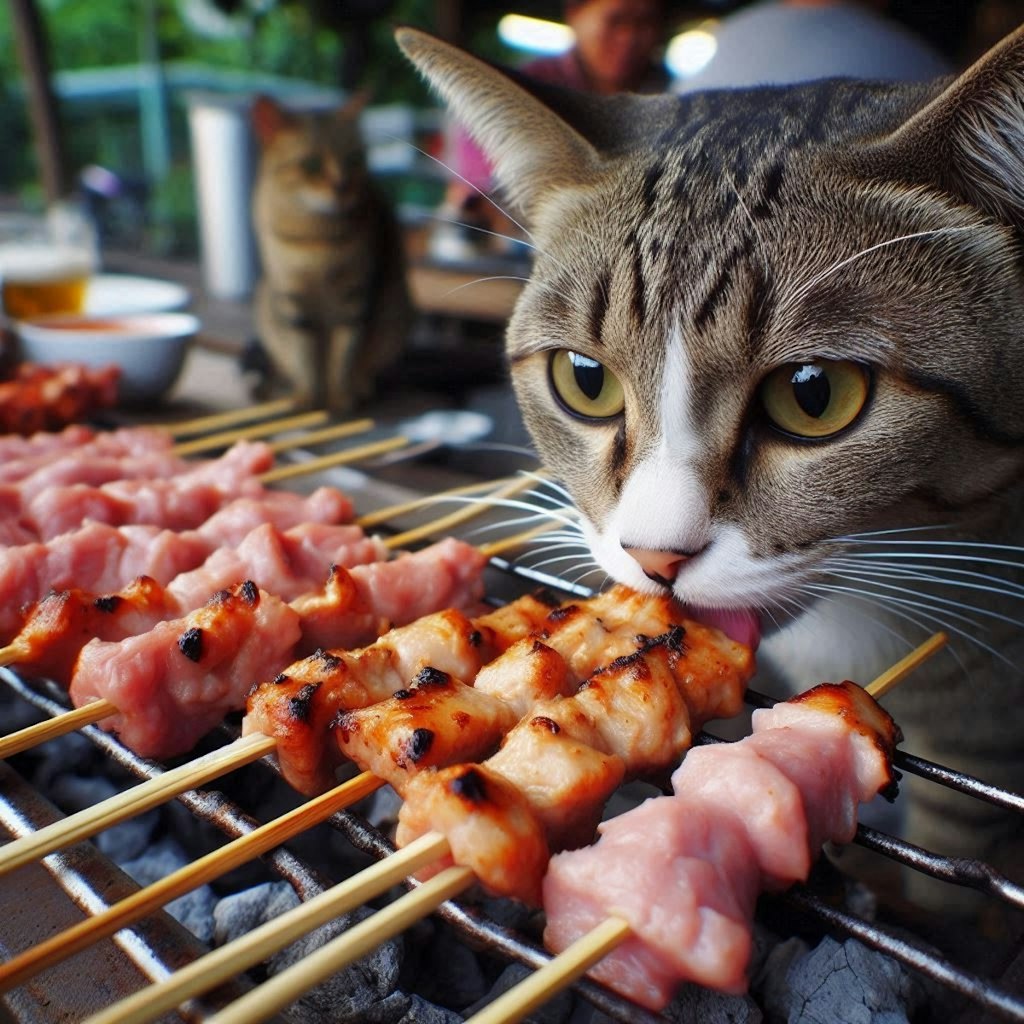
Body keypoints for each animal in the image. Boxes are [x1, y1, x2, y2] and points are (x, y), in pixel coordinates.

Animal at [249, 94, 409, 413]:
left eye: (354, 160)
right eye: (311, 164)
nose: (342, 186)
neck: (316, 240)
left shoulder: (355, 297)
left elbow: (344, 354)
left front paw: (340, 398)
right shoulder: (293, 298)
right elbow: (305, 356)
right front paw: (308, 397)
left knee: (366, 367)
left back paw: (359, 388)